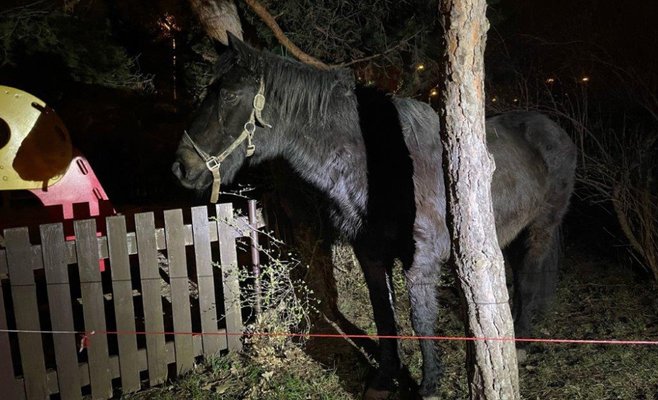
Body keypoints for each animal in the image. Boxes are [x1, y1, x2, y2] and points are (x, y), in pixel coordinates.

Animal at [172, 33, 577, 399]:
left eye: (228, 95)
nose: (182, 167)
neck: (385, 165)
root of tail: (555, 130)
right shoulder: (368, 253)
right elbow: (384, 314)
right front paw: (385, 377)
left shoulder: (421, 259)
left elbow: (420, 319)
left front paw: (429, 385)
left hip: (541, 228)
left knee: (529, 277)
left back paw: (521, 341)